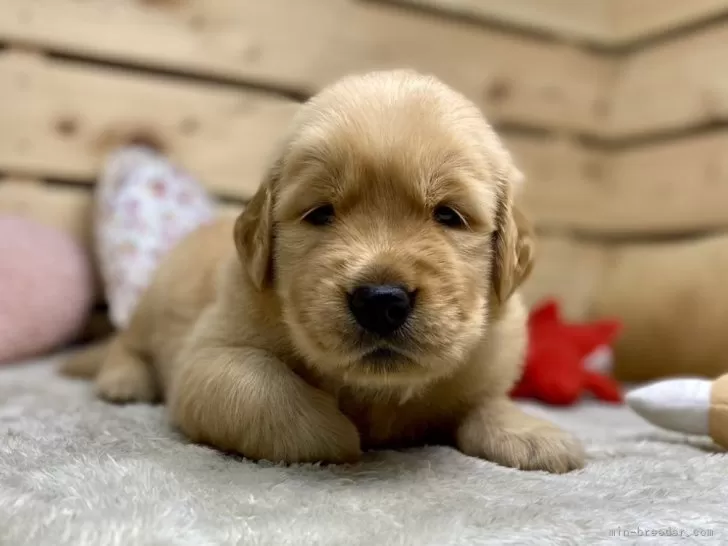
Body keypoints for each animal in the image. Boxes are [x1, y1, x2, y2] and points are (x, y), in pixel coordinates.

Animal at [62, 69, 584, 472]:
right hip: (154, 303)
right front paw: (338, 432)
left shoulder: (488, 361)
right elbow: (259, 389)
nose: (381, 301)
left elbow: (487, 401)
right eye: (320, 213)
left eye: (449, 216)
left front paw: (534, 434)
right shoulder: (207, 357)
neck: (377, 393)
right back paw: (123, 380)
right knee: (127, 343)